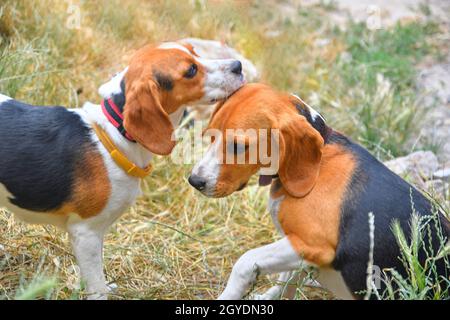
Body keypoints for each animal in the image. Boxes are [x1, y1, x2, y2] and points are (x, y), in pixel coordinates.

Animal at [0, 41, 244, 298]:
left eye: (194, 51)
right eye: (191, 70)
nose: (238, 66)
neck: (114, 133)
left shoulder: (97, 235)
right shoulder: (85, 233)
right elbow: (97, 285)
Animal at [190, 84, 450, 298]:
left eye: (237, 146)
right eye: (210, 135)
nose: (195, 181)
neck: (322, 156)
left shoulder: (312, 245)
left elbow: (245, 262)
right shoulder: (300, 252)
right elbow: (285, 283)